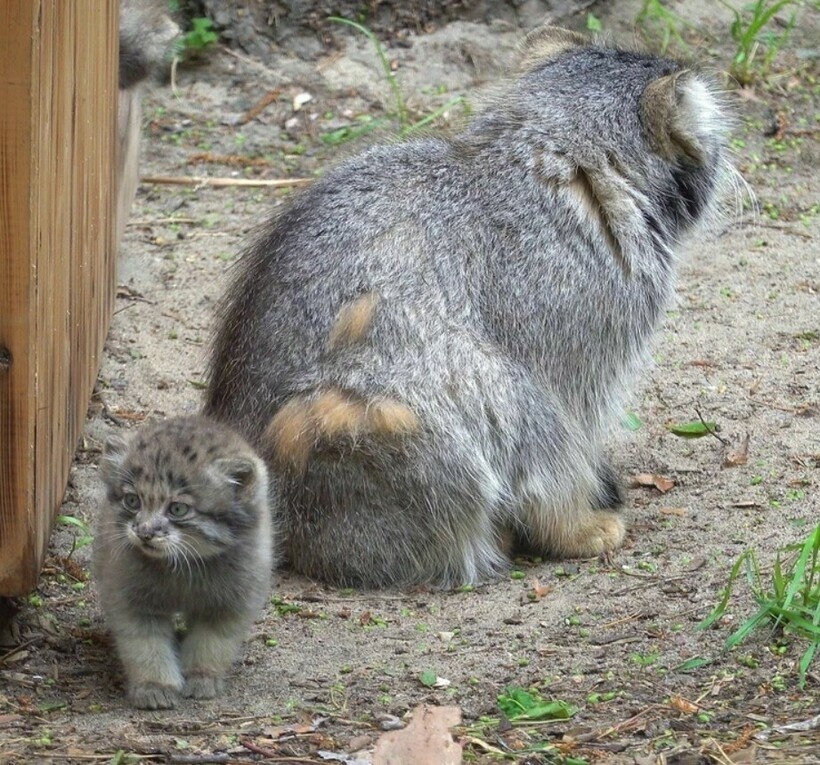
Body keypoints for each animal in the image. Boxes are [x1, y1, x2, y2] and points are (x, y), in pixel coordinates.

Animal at [92, 414, 272, 708]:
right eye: (132, 500)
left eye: (177, 508)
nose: (144, 532)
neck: (183, 567)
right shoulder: (132, 601)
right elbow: (146, 647)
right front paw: (154, 685)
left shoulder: (230, 604)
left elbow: (211, 644)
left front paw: (201, 676)